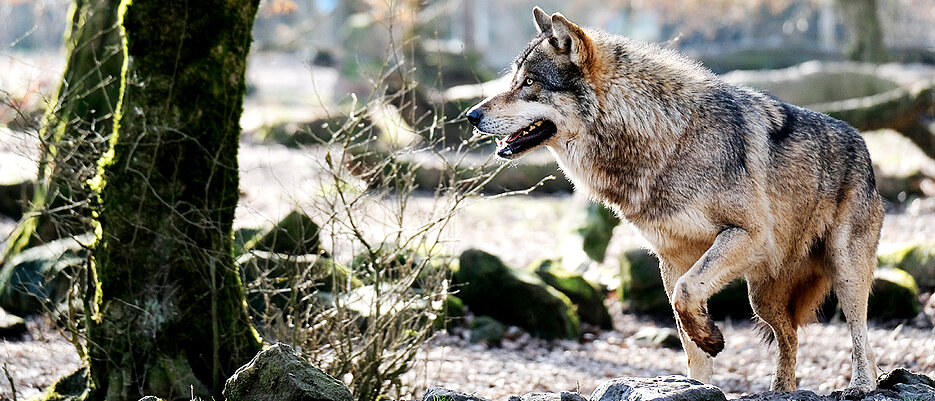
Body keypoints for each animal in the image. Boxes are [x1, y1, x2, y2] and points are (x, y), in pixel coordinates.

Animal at [468, 7, 884, 394]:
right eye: (514, 80)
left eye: (529, 83)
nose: (472, 114)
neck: (666, 137)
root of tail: (863, 144)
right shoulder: (672, 258)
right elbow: (684, 324)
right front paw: (697, 380)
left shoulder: (747, 235)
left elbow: (687, 294)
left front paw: (711, 338)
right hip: (761, 296)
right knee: (791, 336)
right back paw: (782, 390)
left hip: (844, 271)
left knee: (861, 337)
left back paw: (861, 385)